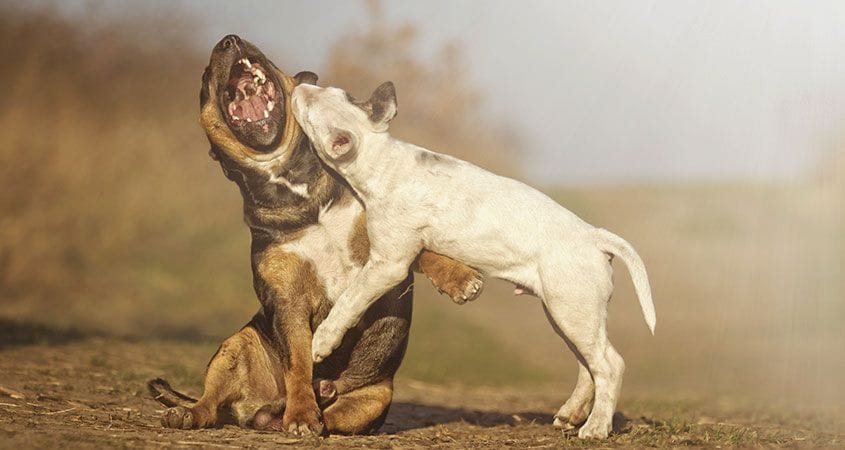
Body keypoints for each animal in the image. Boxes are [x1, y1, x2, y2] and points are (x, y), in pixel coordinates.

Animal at [149, 35, 482, 436]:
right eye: (203, 78)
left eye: (267, 56)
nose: (229, 40)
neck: (294, 186)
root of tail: (261, 409)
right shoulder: (287, 301)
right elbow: (297, 361)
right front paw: (302, 415)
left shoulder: (382, 235)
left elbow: (426, 254)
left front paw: (460, 278)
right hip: (236, 346)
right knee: (211, 403)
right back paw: (196, 413)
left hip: (371, 401)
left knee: (335, 418)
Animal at [294, 81, 656, 440]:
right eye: (334, 91)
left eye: (310, 112)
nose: (301, 84)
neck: (381, 160)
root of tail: (595, 237)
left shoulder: (389, 263)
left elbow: (350, 299)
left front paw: (321, 342)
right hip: (569, 313)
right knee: (587, 363)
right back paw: (571, 414)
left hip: (573, 310)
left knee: (609, 365)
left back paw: (596, 427)